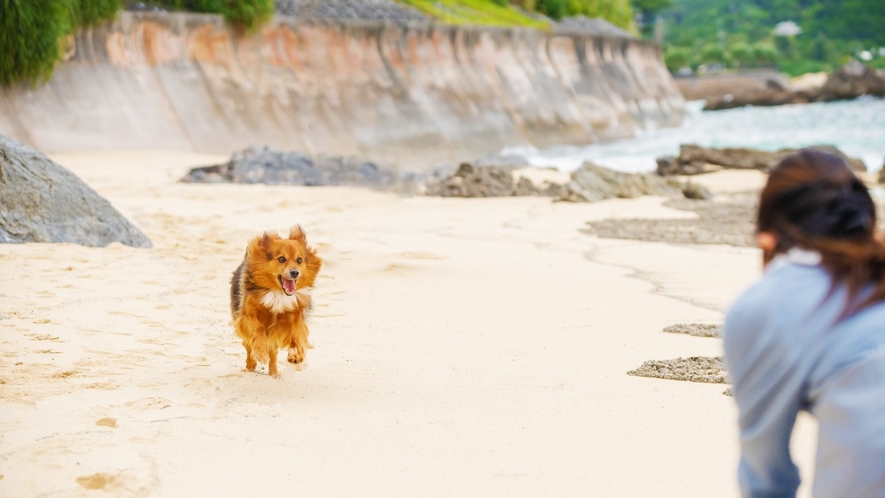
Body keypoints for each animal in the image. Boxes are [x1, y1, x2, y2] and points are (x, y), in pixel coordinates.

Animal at [230, 226, 322, 378]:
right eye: (281, 259)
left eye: (299, 260)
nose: (295, 272)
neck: (278, 293)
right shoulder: (247, 317)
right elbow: (258, 329)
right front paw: (261, 352)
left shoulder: (294, 316)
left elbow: (297, 334)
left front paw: (296, 353)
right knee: (248, 346)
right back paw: (251, 364)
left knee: (273, 353)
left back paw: (274, 372)